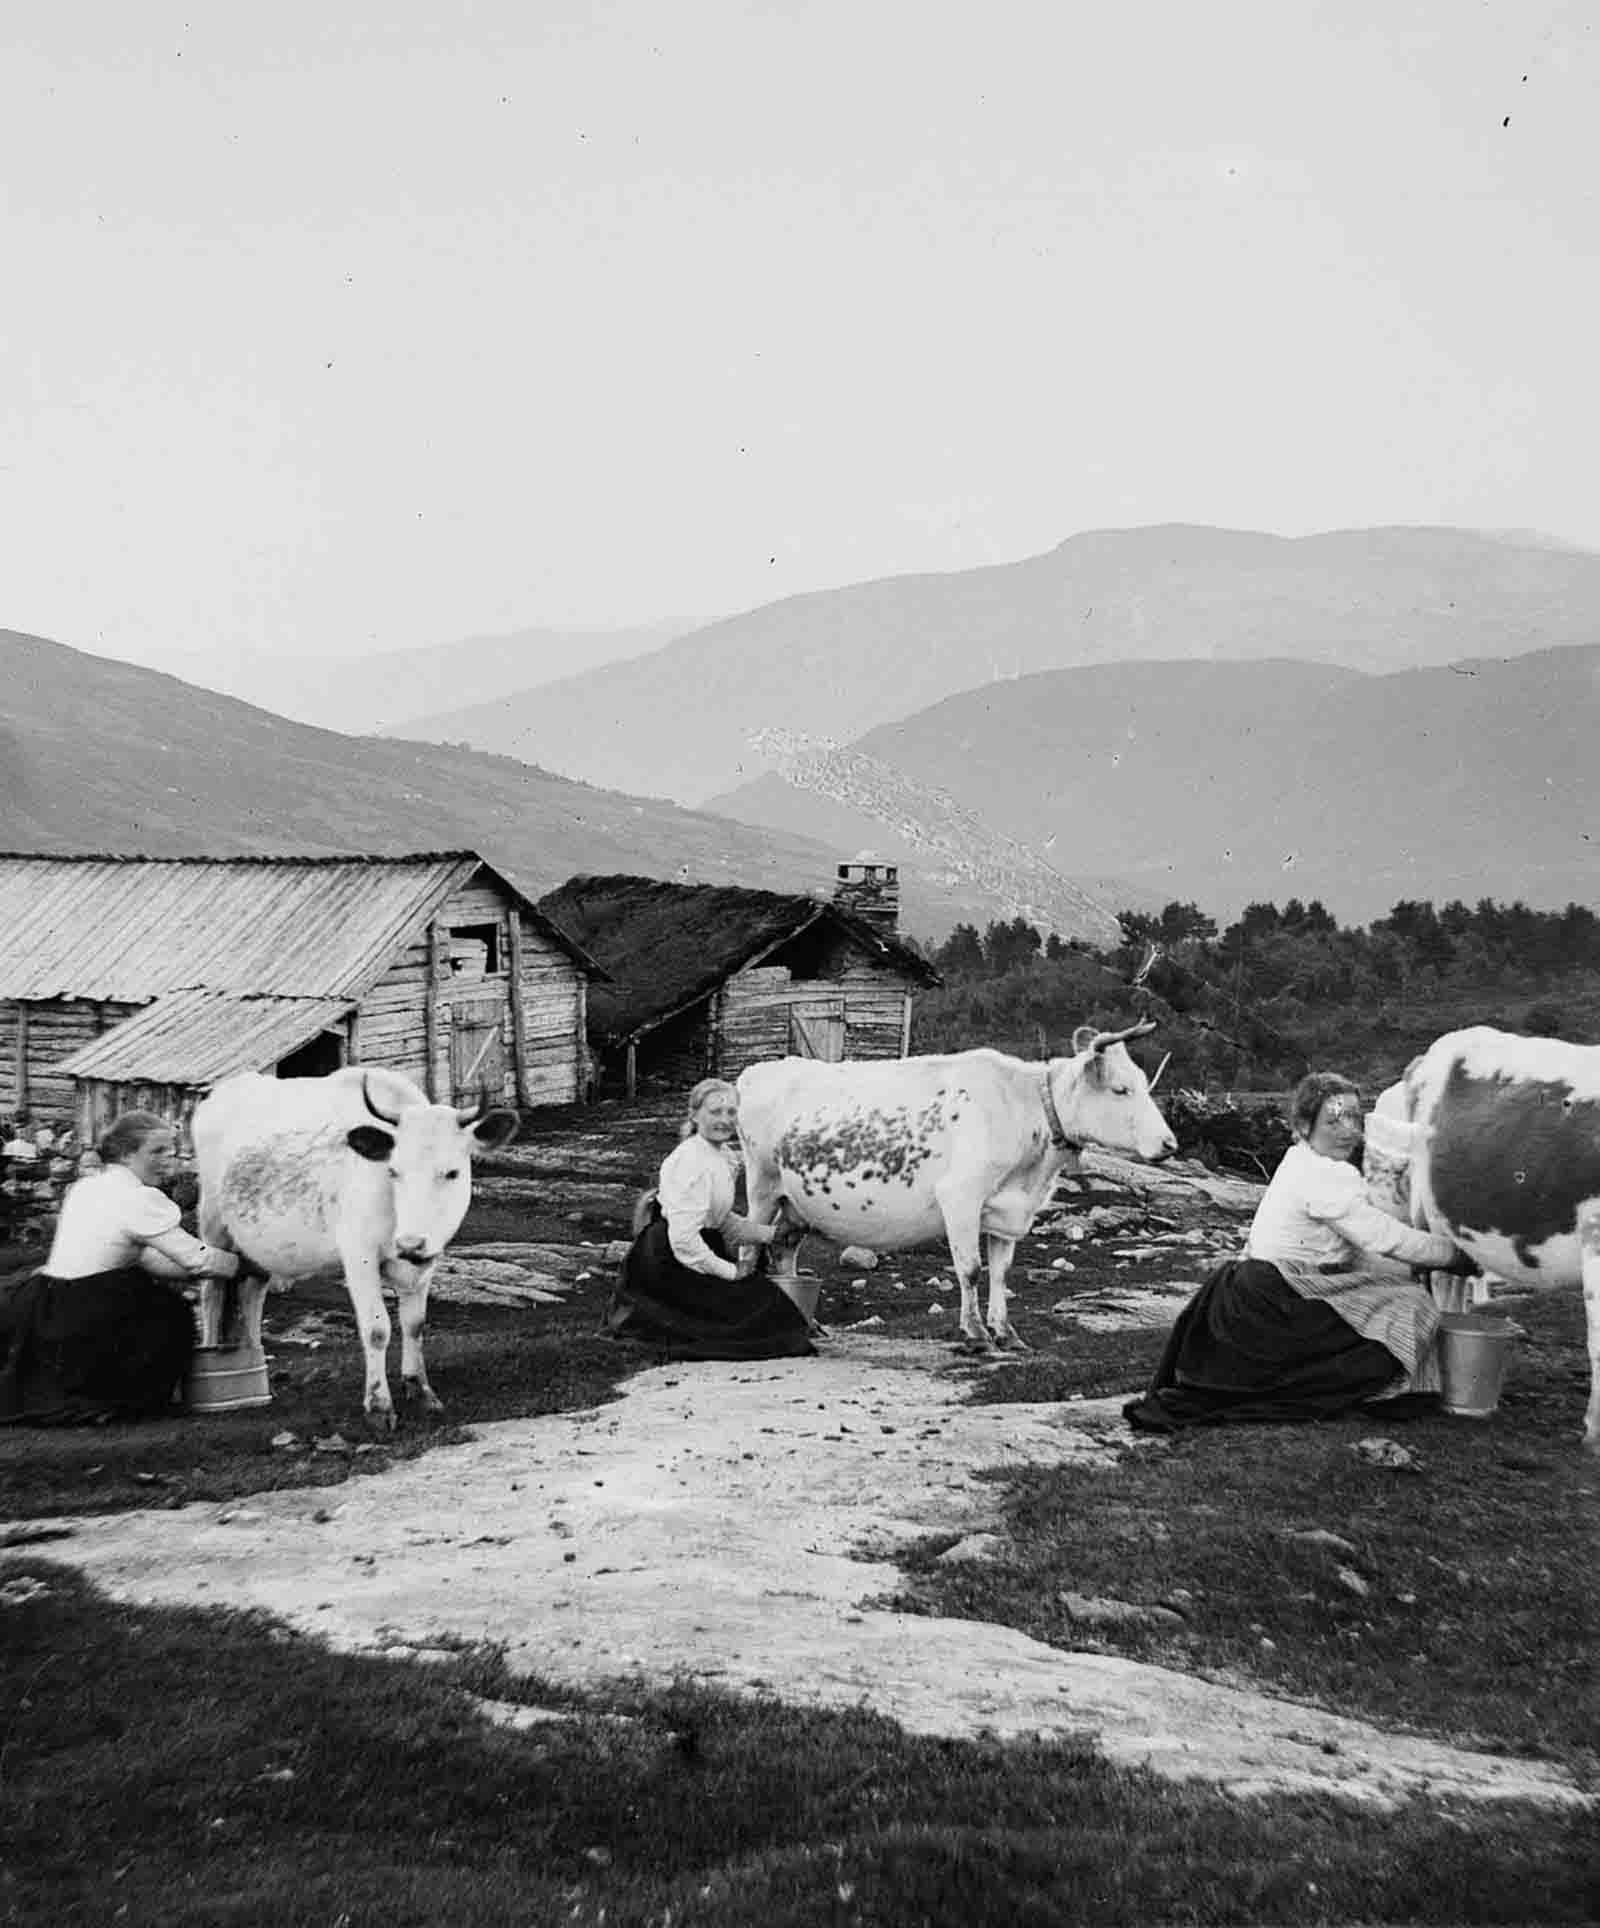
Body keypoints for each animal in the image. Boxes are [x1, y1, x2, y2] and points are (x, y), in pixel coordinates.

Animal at [191, 1064, 520, 1426]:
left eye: (452, 1172)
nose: (410, 1243)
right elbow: (377, 1328)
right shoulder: (359, 1255)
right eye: (394, 1171)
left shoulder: (426, 1261)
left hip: (258, 1248)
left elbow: (414, 1325)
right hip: (213, 1227)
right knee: (212, 1292)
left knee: (252, 1295)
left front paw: (420, 1390)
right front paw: (379, 1406)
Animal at [740, 1025, 1179, 1357]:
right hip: (762, 1188)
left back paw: (809, 1324)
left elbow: (1001, 1273)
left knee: (783, 1251)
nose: (1170, 1144)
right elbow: (970, 1269)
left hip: (796, 1204)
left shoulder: (1007, 1212)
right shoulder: (961, 1197)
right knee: (748, 1249)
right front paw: (977, 1335)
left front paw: (1006, 1334)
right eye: (1121, 1089)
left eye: (1144, 1084)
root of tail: (759, 1070)